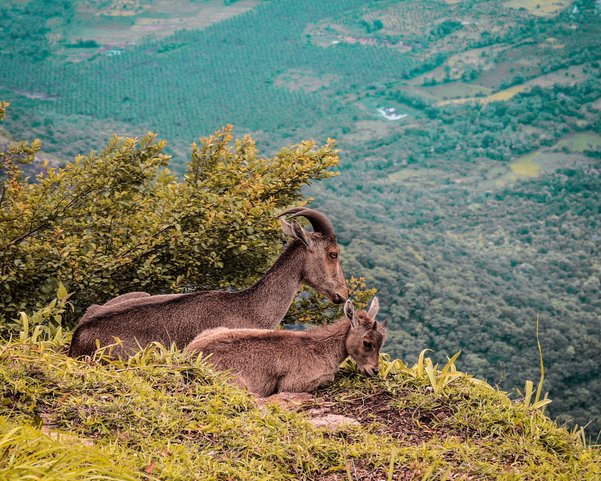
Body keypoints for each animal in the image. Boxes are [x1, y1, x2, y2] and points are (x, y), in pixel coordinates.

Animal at [185, 298, 386, 396]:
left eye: (382, 340)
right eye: (367, 343)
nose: (374, 370)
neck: (323, 348)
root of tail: (190, 353)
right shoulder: (295, 382)